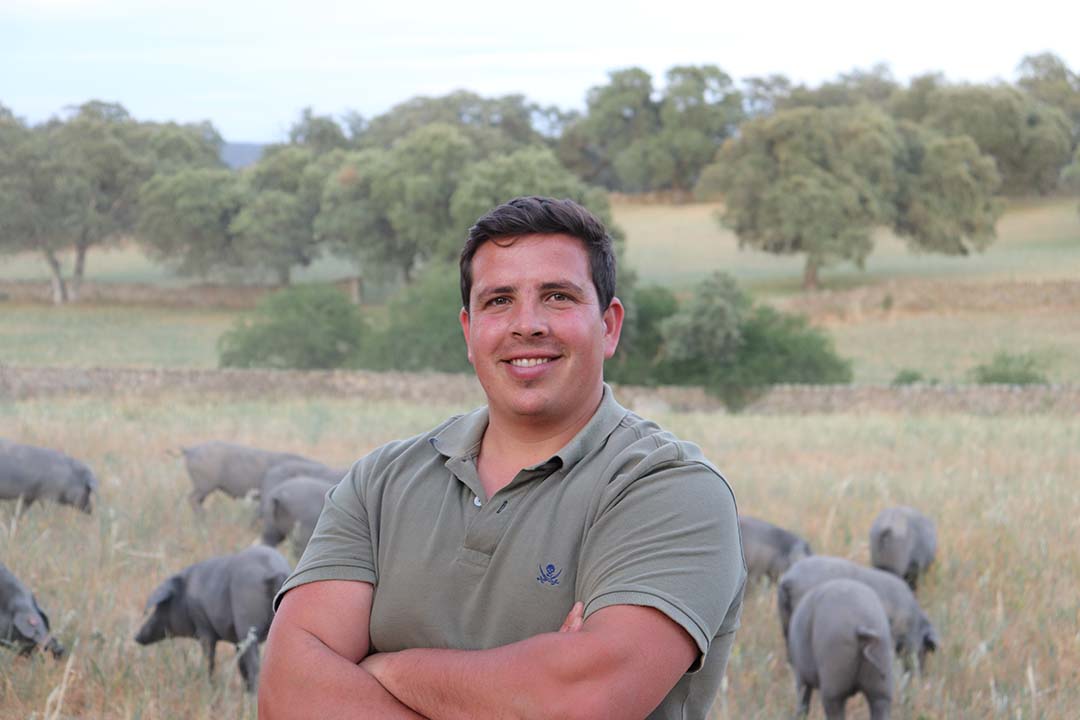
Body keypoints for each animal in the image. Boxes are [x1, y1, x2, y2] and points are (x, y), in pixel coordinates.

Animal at [135, 546, 291, 690]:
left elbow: (209, 659)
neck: (186, 593)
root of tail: (274, 571)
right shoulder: (236, 641)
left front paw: (208, 686)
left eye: (160, 606)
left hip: (246, 622)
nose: (136, 637)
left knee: (254, 666)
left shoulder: (203, 627)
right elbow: (240, 665)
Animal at [786, 578, 894, 720]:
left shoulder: (800, 673)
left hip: (833, 674)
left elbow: (803, 701)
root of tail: (861, 625)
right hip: (881, 675)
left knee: (833, 709)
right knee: (881, 704)